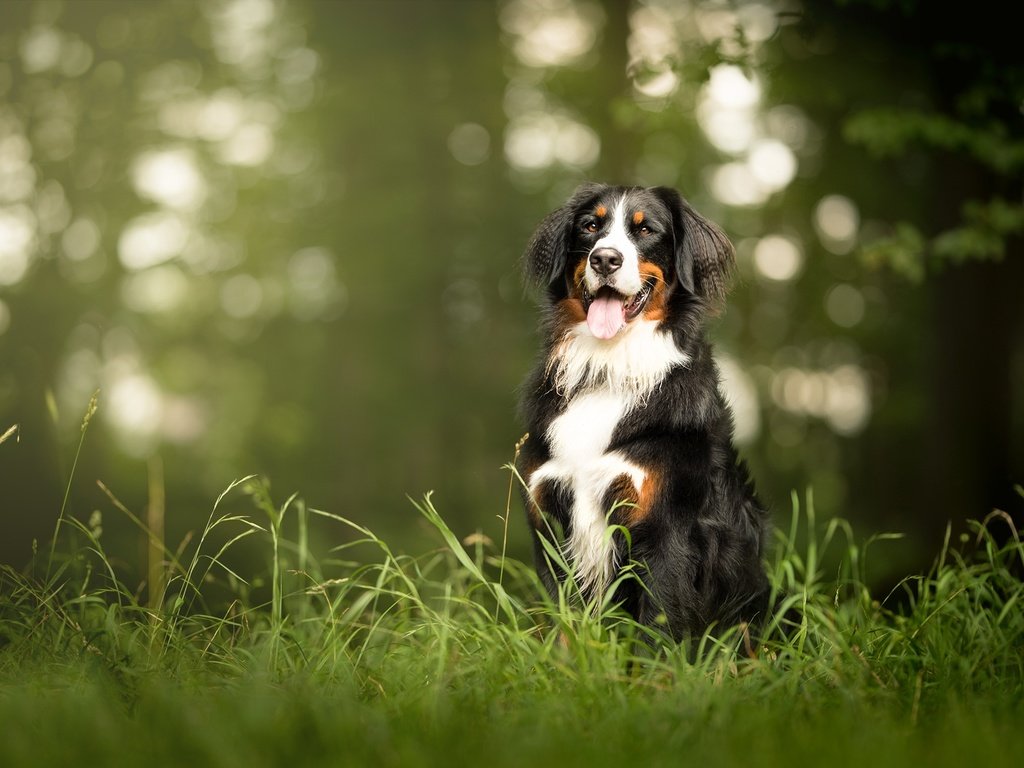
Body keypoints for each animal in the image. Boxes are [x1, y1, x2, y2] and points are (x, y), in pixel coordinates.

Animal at [516, 182, 770, 643]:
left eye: (646, 229)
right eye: (590, 226)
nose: (605, 259)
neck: (609, 366)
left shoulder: (665, 528)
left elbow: (657, 627)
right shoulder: (549, 518)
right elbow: (562, 624)